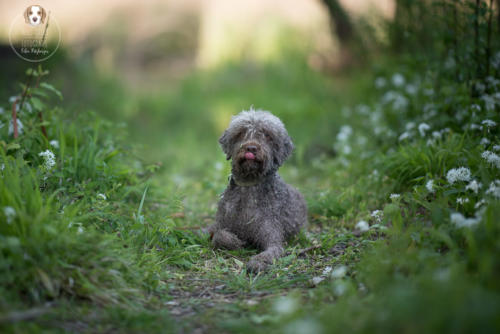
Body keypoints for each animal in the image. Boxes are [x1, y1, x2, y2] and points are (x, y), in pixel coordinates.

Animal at [208, 108, 308, 272]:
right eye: (241, 133)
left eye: (267, 135)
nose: (251, 148)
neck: (249, 189)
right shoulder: (221, 224)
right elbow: (219, 235)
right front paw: (235, 242)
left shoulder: (273, 238)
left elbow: (270, 251)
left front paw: (257, 262)